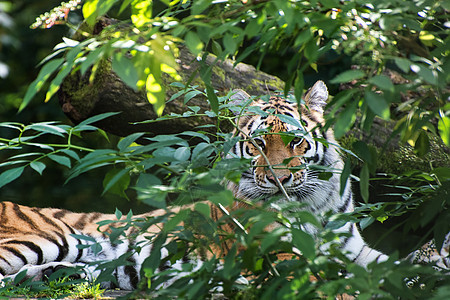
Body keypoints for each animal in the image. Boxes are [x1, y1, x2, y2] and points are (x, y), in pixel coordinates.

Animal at [0, 80, 446, 290]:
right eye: (259, 144)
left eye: (296, 141)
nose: (282, 179)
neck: (313, 203)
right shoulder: (281, 254)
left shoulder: (355, 249)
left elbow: (398, 268)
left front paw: (433, 262)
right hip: (39, 238)